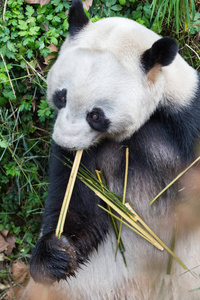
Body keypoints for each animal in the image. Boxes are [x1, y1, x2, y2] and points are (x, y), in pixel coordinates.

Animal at [21, 0, 200, 300]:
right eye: (61, 96)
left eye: (95, 115)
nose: (65, 143)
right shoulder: (86, 159)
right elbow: (79, 206)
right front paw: (56, 255)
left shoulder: (184, 125)